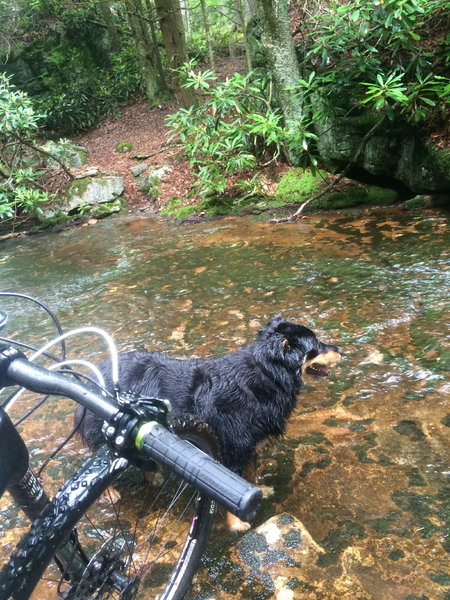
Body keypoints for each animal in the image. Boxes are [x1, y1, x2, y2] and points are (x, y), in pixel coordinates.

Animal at [75, 316, 342, 480]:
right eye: (316, 345)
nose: (340, 349)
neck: (266, 374)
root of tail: (95, 373)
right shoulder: (236, 446)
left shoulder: (250, 447)